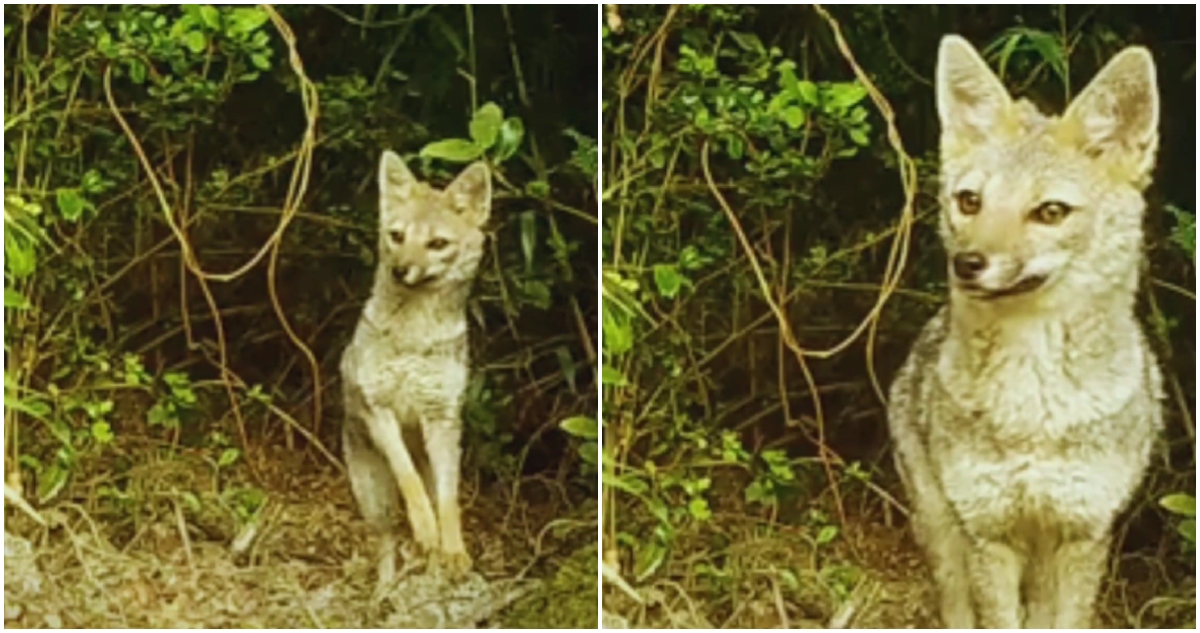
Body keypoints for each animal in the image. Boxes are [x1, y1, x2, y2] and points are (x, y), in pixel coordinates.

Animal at [340, 150, 491, 593]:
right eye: (397, 236)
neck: (413, 337)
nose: (400, 269)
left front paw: (454, 551)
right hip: (374, 497)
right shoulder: (380, 410)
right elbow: (410, 481)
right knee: (387, 539)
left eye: (437, 243)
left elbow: (448, 501)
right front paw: (424, 529)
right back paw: (385, 589)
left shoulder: (442, 418)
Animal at [887, 35, 1164, 628]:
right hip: (943, 532)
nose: (967, 263)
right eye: (969, 201)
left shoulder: (1082, 531)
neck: (1035, 409)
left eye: (1051, 211)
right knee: (955, 607)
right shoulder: (987, 532)